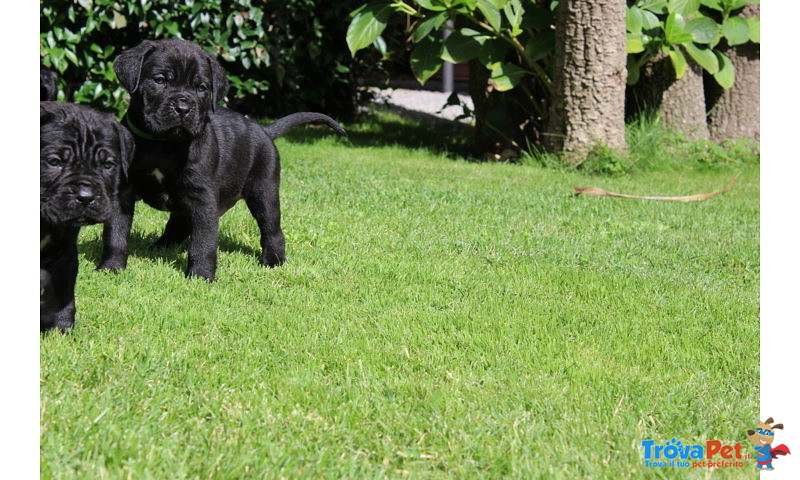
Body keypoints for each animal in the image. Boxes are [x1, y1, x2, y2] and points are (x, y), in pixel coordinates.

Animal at [40, 103, 133, 332]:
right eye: (54, 161)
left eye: (108, 165)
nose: (85, 197)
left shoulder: (64, 253)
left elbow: (64, 294)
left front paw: (62, 329)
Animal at [101, 41, 346, 284]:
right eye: (160, 80)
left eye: (202, 87)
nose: (183, 109)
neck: (163, 145)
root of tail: (264, 130)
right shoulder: (122, 193)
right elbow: (116, 233)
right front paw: (111, 267)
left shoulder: (203, 199)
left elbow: (204, 242)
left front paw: (201, 276)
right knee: (178, 224)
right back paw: (160, 247)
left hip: (263, 191)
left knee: (271, 229)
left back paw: (273, 261)